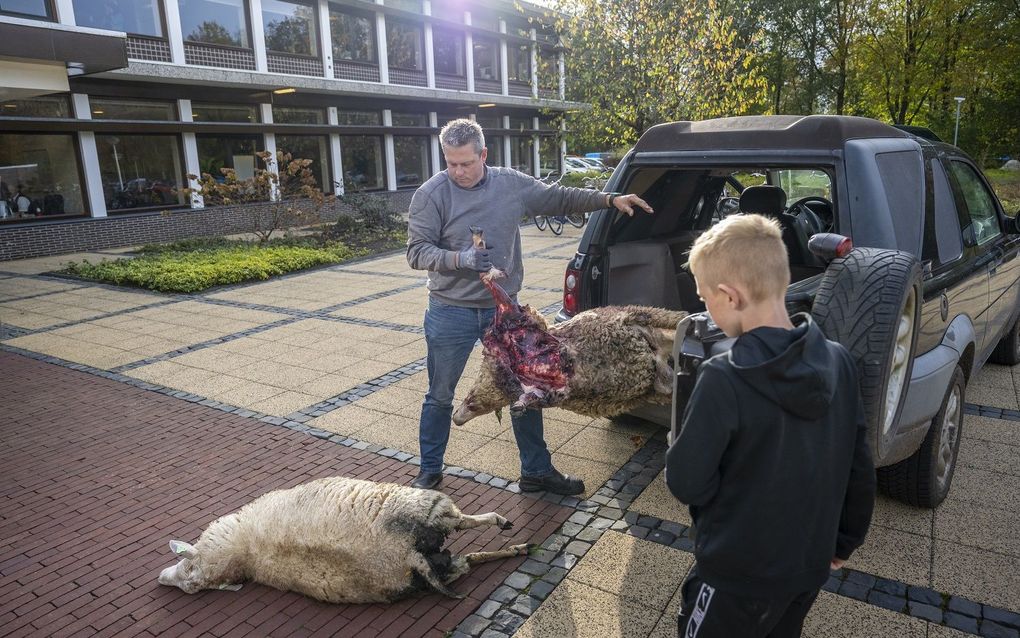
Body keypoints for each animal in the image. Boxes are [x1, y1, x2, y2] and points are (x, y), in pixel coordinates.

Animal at [157, 475, 534, 604]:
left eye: (187, 571)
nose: (161, 579)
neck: (245, 550)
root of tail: (403, 554)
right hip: (427, 510)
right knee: (466, 532)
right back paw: (515, 538)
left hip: (435, 560)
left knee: (467, 554)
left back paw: (517, 545)